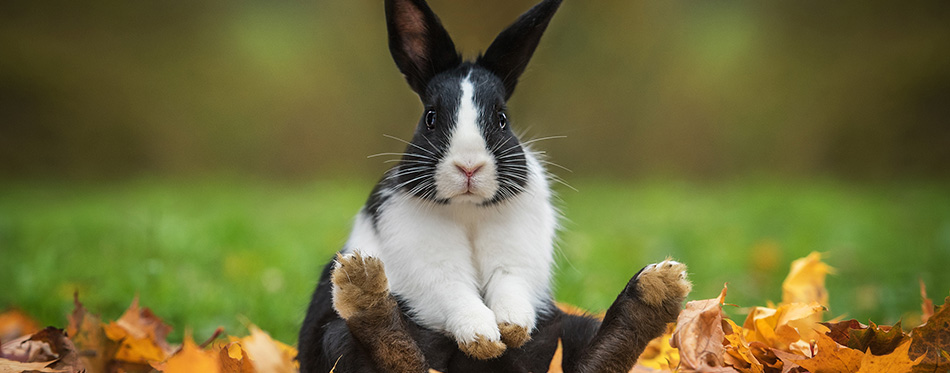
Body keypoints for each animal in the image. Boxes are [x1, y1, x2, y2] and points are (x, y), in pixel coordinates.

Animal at [298, 0, 692, 372]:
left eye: (502, 118)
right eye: (430, 118)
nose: (469, 166)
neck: (468, 208)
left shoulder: (516, 258)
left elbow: (510, 285)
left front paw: (511, 329)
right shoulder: (428, 262)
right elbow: (454, 291)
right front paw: (483, 338)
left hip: (568, 328)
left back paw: (656, 290)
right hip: (336, 336)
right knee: (397, 355)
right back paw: (364, 286)